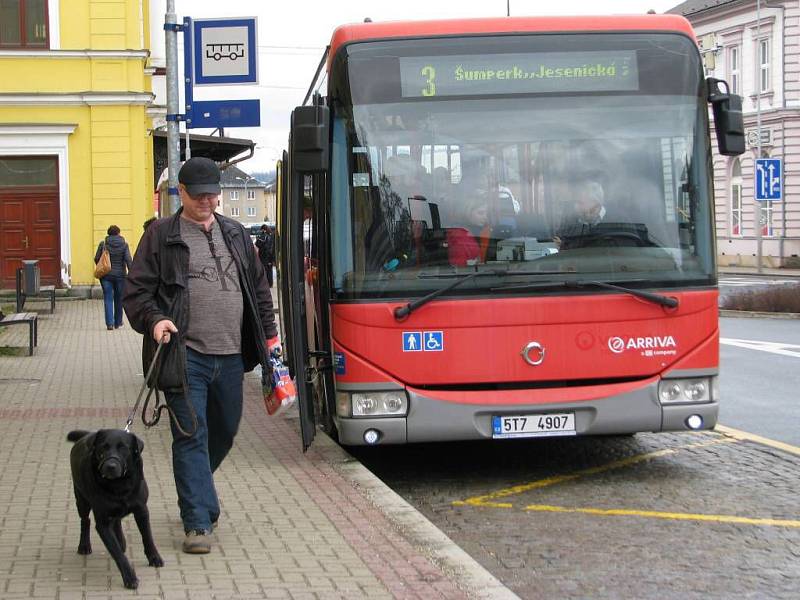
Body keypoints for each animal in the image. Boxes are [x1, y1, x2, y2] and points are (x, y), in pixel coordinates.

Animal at [68, 428, 163, 588]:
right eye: (103, 447)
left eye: (123, 448)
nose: (110, 466)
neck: (119, 484)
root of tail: (86, 435)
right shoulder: (103, 523)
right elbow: (117, 553)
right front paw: (129, 577)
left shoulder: (142, 510)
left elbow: (147, 537)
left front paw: (154, 557)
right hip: (81, 499)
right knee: (85, 520)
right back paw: (84, 545)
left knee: (117, 521)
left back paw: (121, 540)